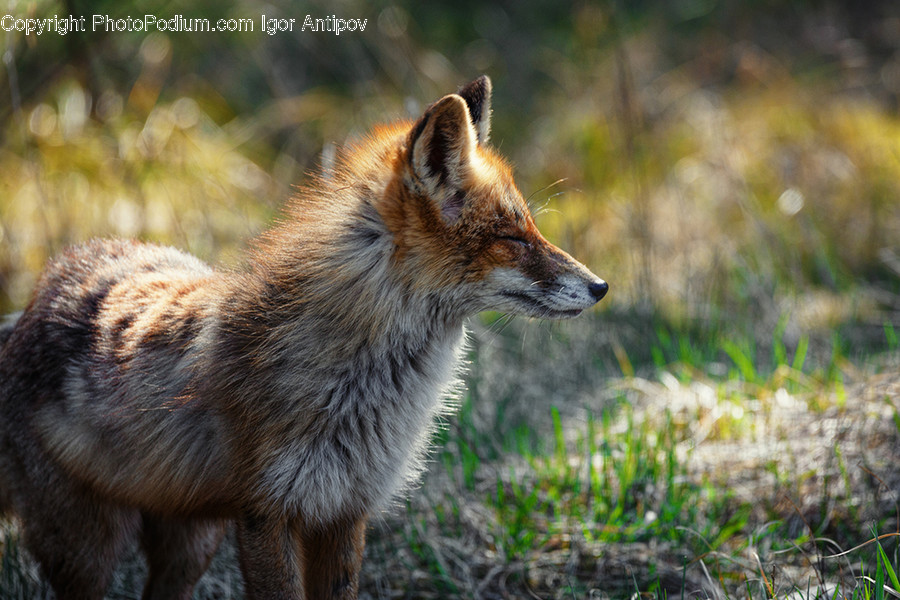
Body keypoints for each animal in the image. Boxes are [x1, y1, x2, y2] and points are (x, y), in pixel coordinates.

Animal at [0, 76, 607, 600]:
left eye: (533, 228)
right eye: (512, 238)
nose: (600, 287)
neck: (363, 390)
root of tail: (38, 294)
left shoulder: (345, 510)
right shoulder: (268, 512)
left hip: (189, 545)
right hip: (90, 551)